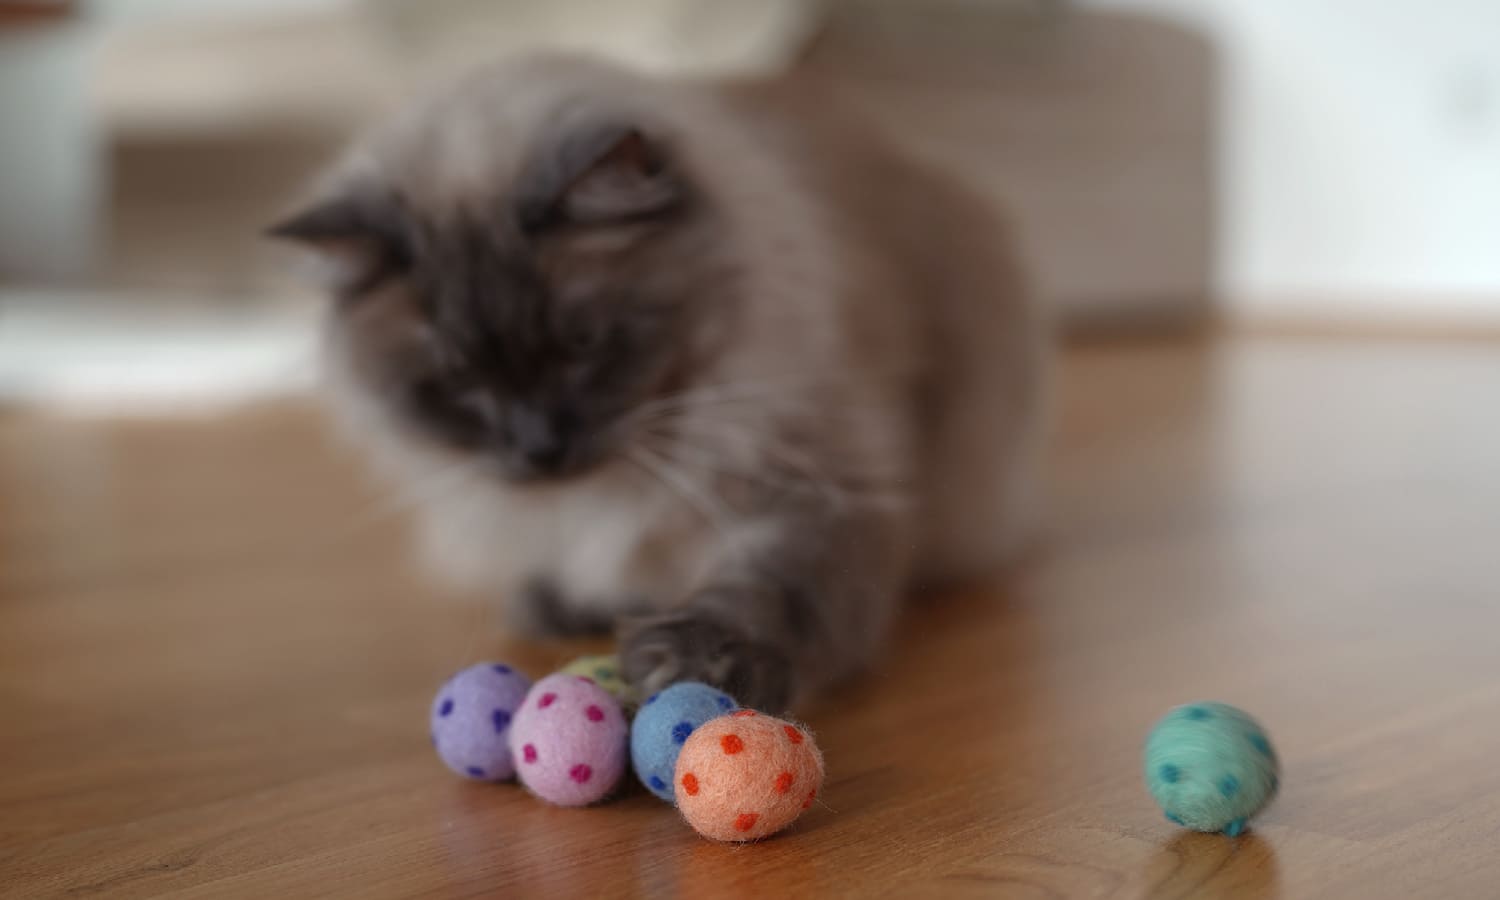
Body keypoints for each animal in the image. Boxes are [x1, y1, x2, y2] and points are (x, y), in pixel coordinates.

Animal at [270, 54, 1049, 711]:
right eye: (459, 378)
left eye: (581, 344)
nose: (538, 448)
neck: (616, 484)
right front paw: (568, 603)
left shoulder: (817, 489)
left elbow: (768, 590)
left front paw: (696, 664)